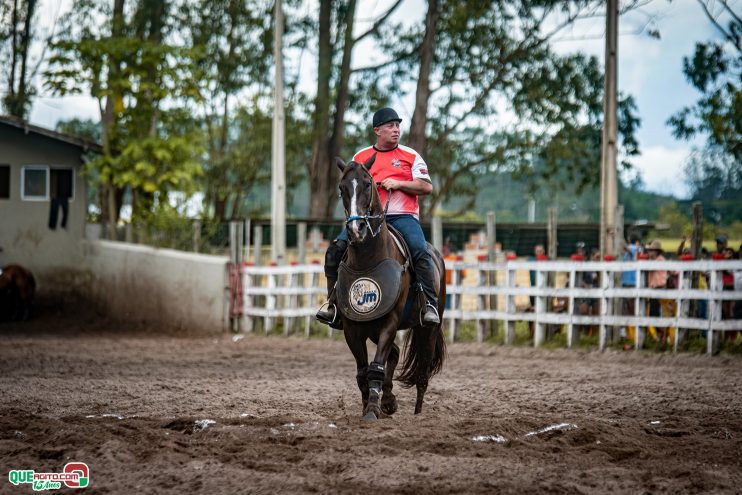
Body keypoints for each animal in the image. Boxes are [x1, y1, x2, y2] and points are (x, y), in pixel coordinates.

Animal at [338, 153, 448, 420]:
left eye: (368, 184)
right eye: (341, 188)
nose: (356, 229)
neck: (369, 258)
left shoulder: (390, 321)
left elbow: (376, 367)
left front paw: (372, 409)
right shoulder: (352, 328)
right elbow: (363, 371)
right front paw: (372, 404)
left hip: (428, 329)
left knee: (422, 372)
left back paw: (417, 412)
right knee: (395, 353)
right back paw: (388, 399)